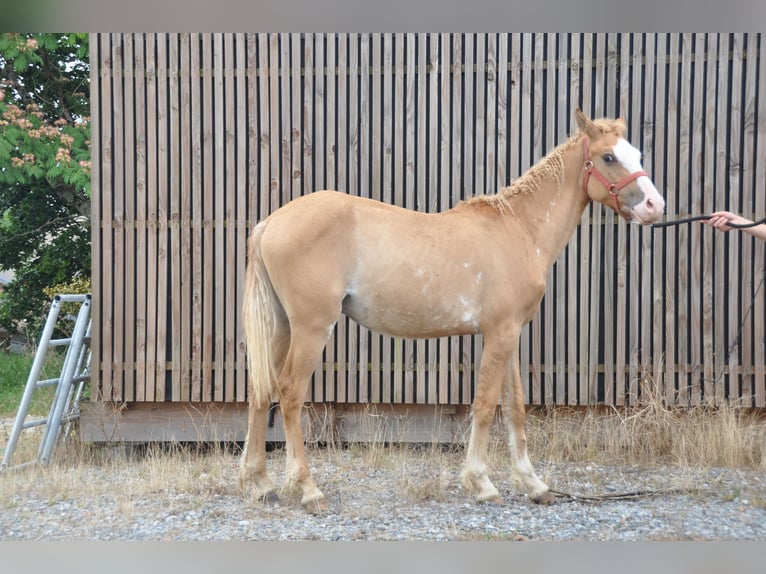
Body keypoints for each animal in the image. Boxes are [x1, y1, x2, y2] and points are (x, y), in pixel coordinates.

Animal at [240, 108, 664, 512]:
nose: (654, 205)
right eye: (608, 156)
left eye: (638, 154)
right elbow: (485, 405)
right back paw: (309, 490)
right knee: (290, 392)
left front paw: (535, 485)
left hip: (282, 327)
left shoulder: (511, 334)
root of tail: (272, 222)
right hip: (312, 328)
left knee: (261, 389)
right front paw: (482, 484)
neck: (519, 228)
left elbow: (514, 406)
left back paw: (262, 484)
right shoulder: (499, 332)